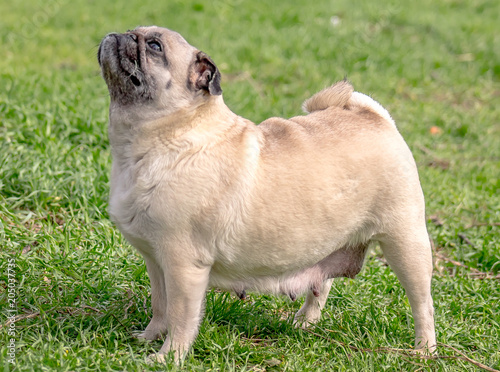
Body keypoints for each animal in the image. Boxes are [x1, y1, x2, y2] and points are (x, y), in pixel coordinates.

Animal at [97, 26, 434, 364]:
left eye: (155, 46)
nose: (121, 34)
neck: (168, 136)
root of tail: (374, 117)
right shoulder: (156, 263)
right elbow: (160, 306)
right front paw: (149, 338)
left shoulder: (183, 265)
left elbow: (180, 317)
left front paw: (169, 357)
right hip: (330, 243)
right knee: (322, 285)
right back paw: (305, 322)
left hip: (406, 242)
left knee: (423, 304)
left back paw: (424, 350)